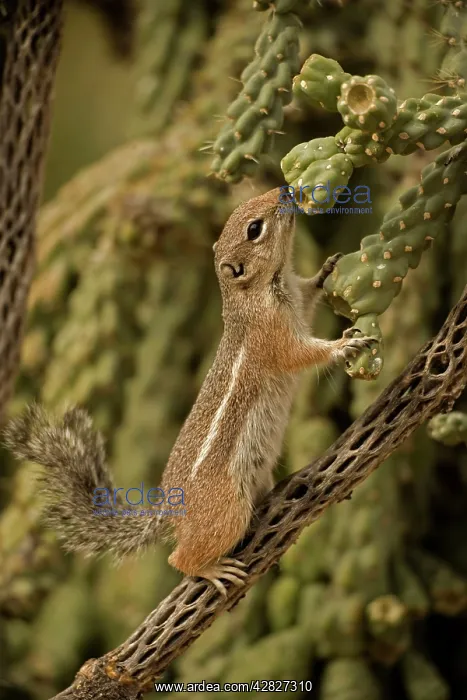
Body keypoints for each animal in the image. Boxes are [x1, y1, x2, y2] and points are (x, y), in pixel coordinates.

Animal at [3, 187, 372, 596]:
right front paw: (343, 346)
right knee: (179, 558)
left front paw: (326, 270)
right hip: (227, 510)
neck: (257, 291)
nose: (285, 190)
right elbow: (300, 355)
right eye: (254, 228)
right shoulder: (272, 336)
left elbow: (309, 294)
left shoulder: (297, 299)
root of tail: (171, 510)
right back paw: (212, 570)